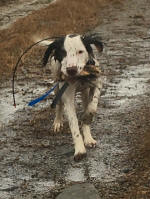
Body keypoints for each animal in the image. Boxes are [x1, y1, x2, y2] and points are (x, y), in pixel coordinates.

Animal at [41, 33, 103, 162]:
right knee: (59, 105)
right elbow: (73, 123)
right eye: (63, 53)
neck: (79, 77)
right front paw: (79, 150)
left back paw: (88, 137)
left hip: (85, 91)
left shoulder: (98, 82)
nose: (71, 70)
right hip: (57, 86)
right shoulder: (67, 96)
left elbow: (92, 107)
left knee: (86, 104)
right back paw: (57, 122)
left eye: (80, 51)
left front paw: (87, 118)